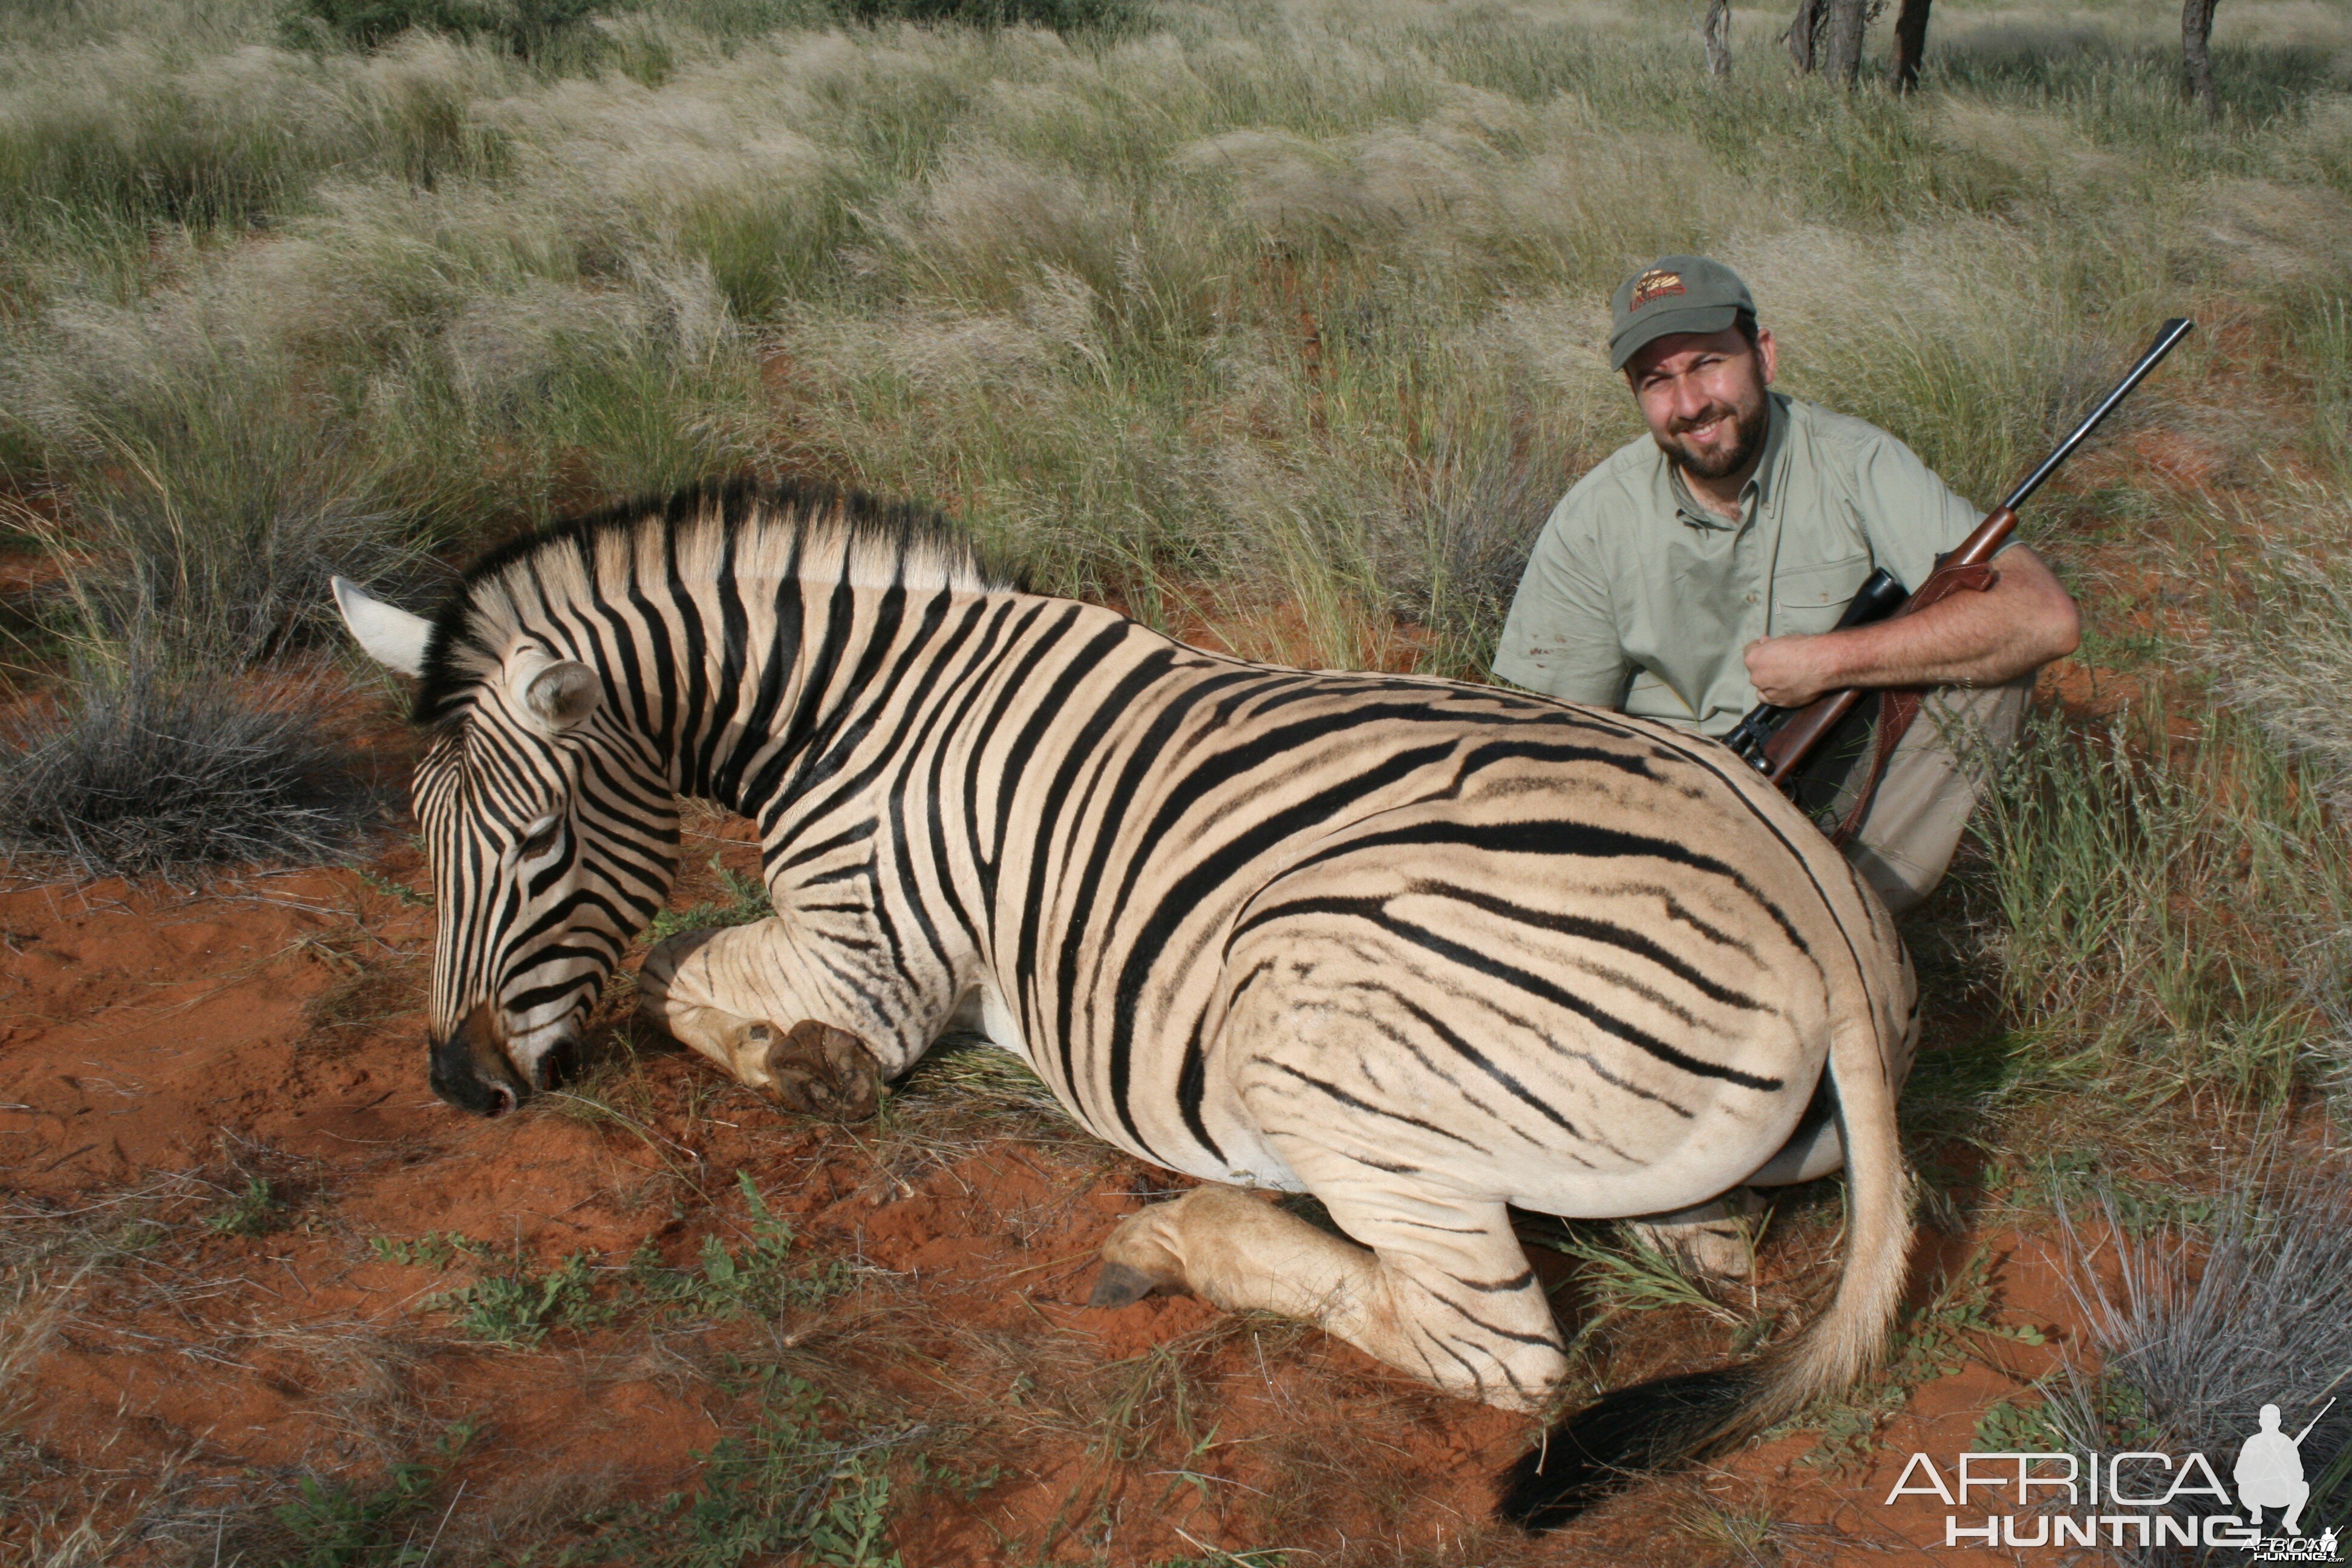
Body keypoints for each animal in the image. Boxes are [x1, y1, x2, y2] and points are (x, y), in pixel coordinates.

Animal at [327, 482, 1910, 1532]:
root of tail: (1816, 913)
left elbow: (676, 974)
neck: (849, 713)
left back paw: (1169, 1237)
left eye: (538, 846)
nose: (459, 1088)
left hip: (1305, 1017)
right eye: (420, 838)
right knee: (1699, 1250)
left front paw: (808, 1073)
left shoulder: (867, 959)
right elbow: (676, 968)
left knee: (1497, 1348)